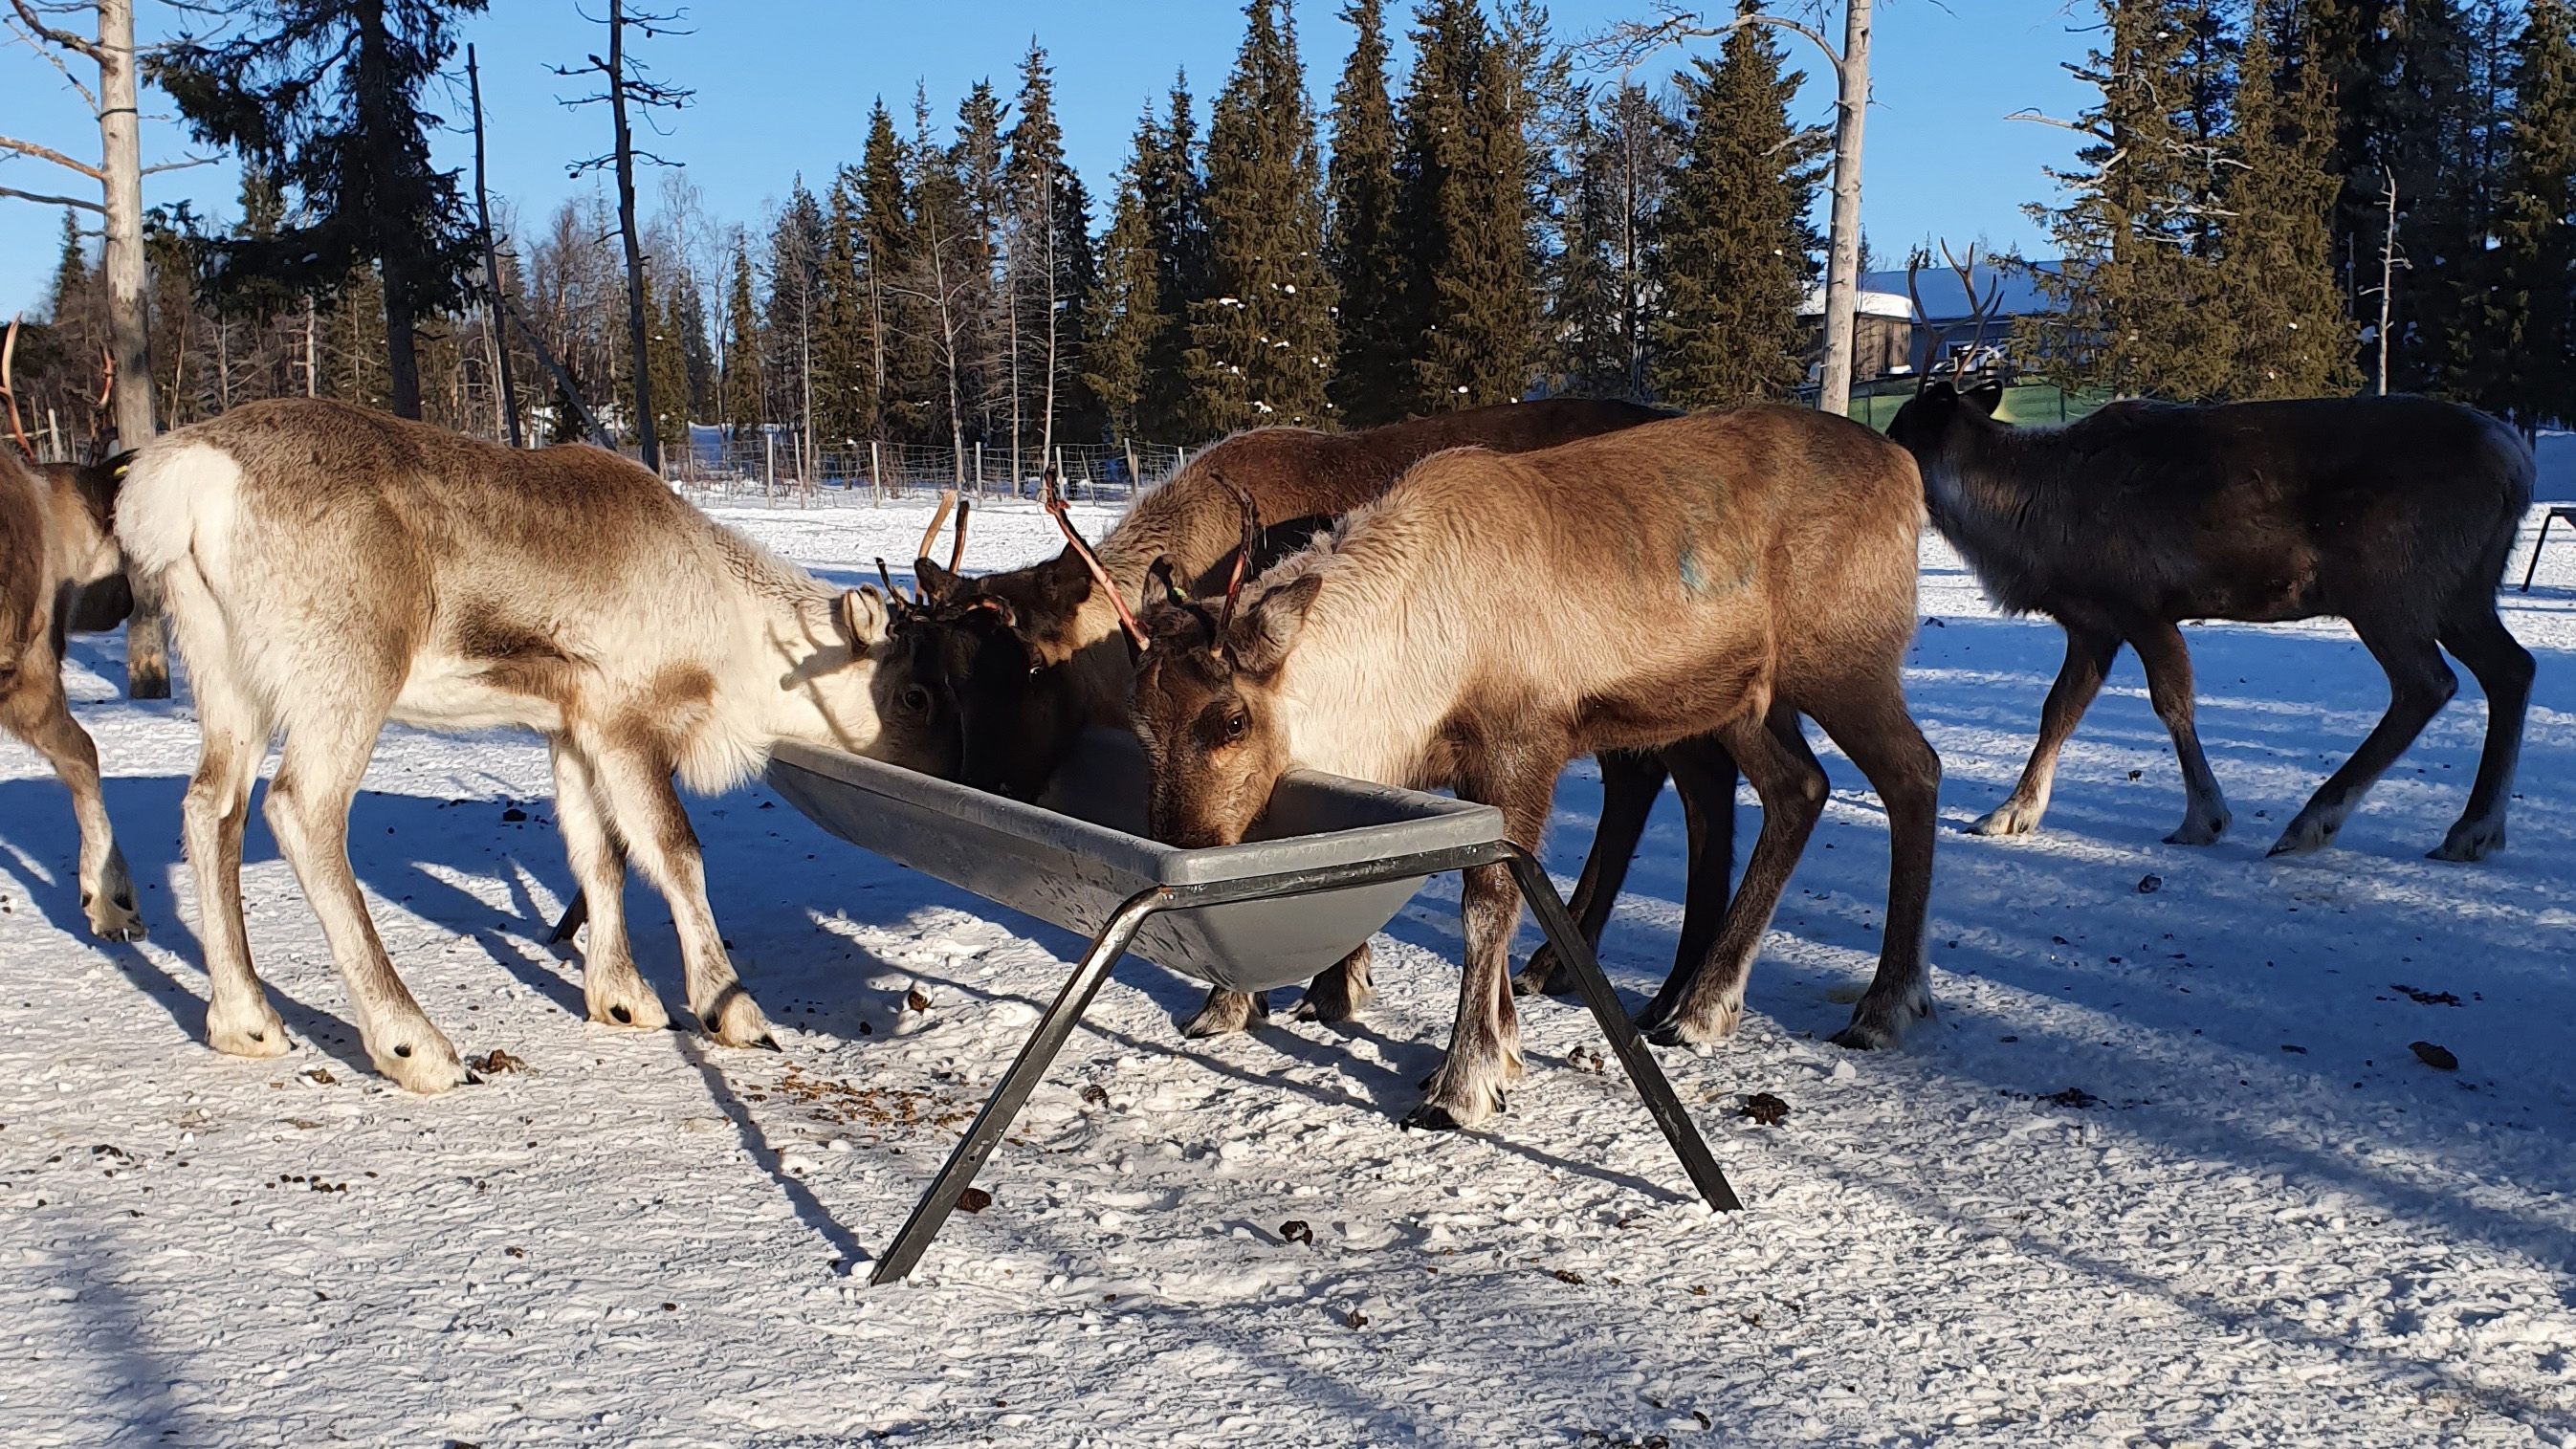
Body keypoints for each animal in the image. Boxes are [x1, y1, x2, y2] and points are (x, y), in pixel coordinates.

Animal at [116, 398, 936, 1092]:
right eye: (914, 694)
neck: (733, 627)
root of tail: (185, 478)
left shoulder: (569, 729)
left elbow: (597, 851)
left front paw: (621, 998)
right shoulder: (625, 720)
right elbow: (673, 851)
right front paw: (729, 1008)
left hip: (229, 677)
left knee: (211, 807)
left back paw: (246, 1022)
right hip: (345, 672)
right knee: (302, 810)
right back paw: (414, 1043)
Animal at [883, 399, 1743, 1040]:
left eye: (1031, 669)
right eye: (941, 680)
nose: (985, 784)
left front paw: (1250, 1000)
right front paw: (1330, 986)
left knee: (1708, 780)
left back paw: (1682, 995)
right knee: (1659, 780)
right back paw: (1582, 969)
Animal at [1129, 406, 1940, 1130]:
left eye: (1233, 720)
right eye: (1141, 721)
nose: (1184, 845)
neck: (1410, 642)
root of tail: (1905, 466)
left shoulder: (1521, 748)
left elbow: (1487, 901)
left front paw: (1462, 1081)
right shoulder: (1456, 768)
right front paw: (1503, 1048)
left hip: (1842, 662)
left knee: (1913, 771)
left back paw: (1880, 1004)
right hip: (1740, 699)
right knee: (1798, 787)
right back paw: (1702, 1006)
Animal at [1886, 251, 2535, 861]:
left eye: (1898, 432)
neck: (2029, 529)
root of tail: (2516, 459)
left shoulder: (2140, 603)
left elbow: (2172, 703)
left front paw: (2205, 818)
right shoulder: (2093, 621)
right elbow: (2058, 709)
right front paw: (2011, 812)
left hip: (2386, 584)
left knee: (2427, 683)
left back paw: (2314, 821)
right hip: (2463, 589)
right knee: (2512, 668)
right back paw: (2474, 830)